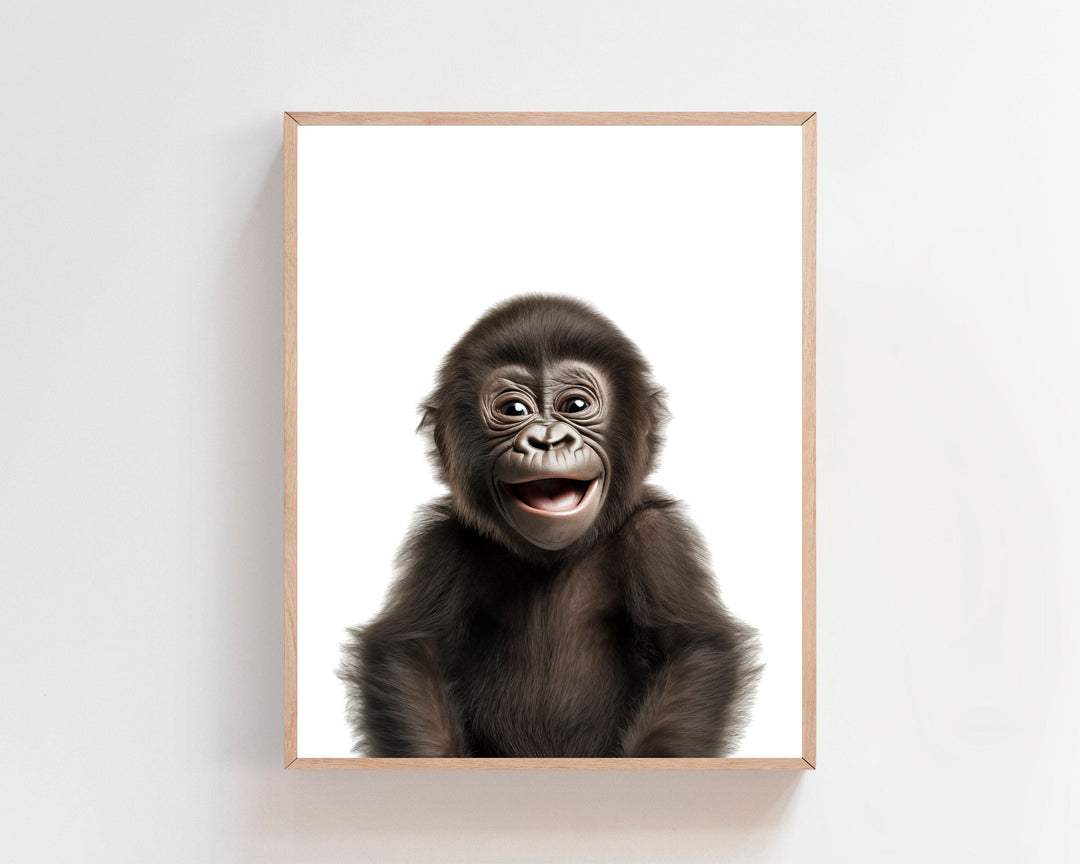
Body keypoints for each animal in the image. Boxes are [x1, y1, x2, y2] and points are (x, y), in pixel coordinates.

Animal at [338, 294, 761, 757]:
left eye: (575, 406)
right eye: (513, 410)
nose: (547, 440)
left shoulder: (657, 536)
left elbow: (695, 649)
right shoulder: (443, 542)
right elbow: (408, 651)